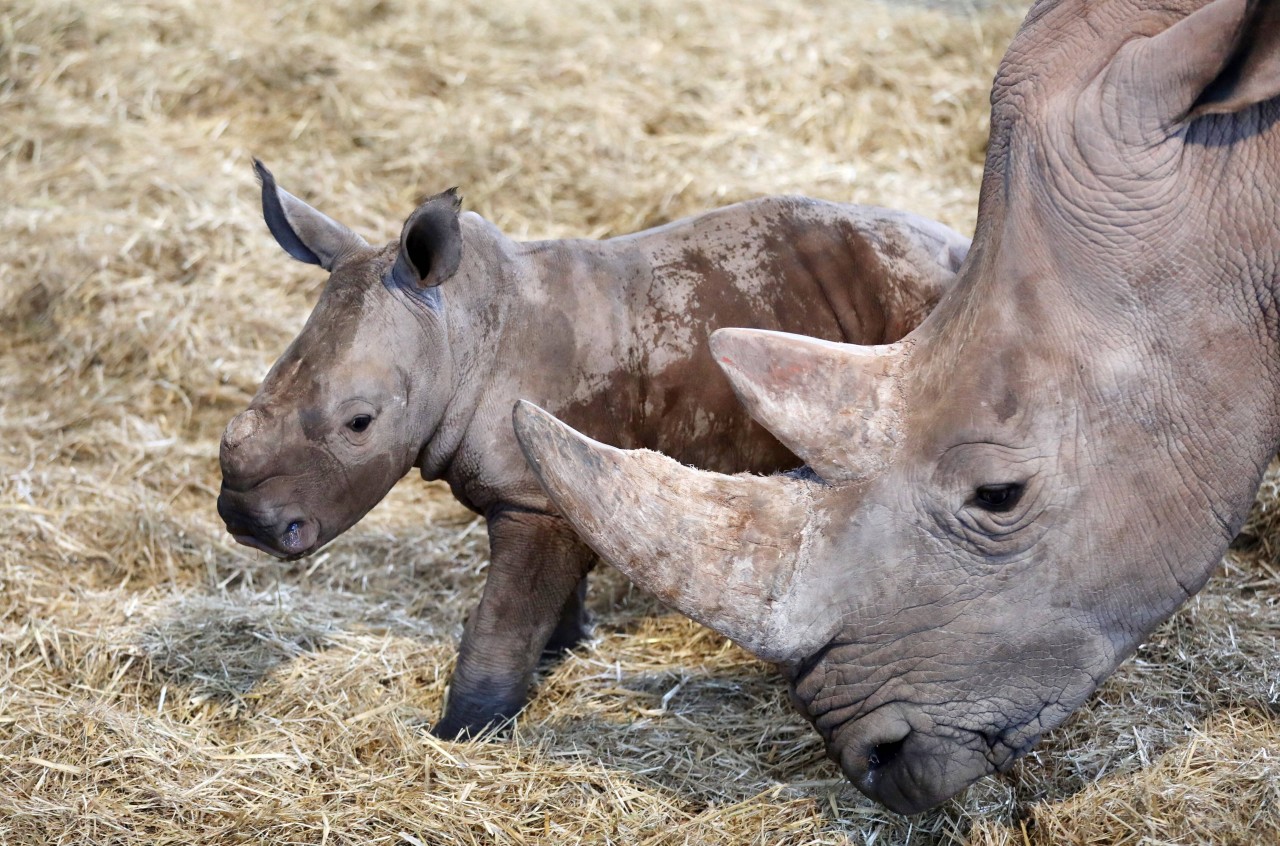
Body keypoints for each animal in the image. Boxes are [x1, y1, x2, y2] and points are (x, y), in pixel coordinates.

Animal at [215, 159, 962, 737]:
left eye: (360, 423)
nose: (246, 522)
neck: (461, 329)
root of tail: (958, 247)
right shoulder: (550, 478)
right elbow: (545, 596)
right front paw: (563, 651)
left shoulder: (535, 497)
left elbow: (500, 622)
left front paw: (463, 733)